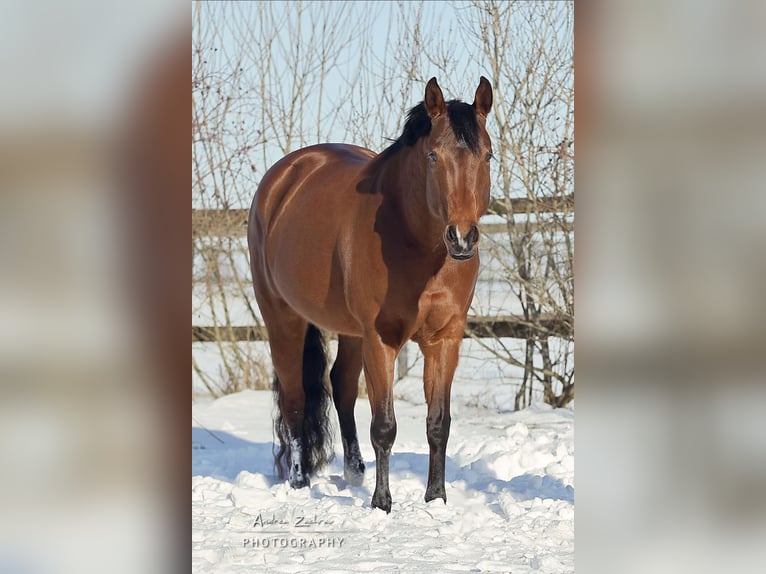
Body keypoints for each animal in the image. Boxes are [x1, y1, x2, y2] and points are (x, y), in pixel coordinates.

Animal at [248, 76, 493, 512]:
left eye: (488, 156)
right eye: (433, 156)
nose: (462, 237)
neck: (417, 245)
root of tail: (283, 178)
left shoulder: (445, 338)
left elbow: (438, 423)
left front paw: (436, 498)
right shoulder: (381, 339)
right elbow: (384, 425)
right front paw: (382, 504)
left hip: (350, 331)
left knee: (341, 386)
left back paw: (354, 472)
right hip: (283, 318)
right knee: (294, 400)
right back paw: (299, 481)